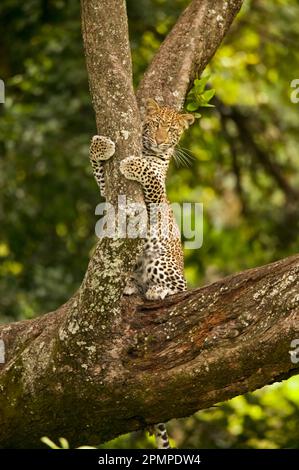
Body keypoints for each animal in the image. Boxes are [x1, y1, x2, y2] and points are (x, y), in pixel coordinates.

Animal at [88, 98, 197, 448]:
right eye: (156, 125)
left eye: (172, 130)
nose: (162, 142)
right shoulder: (109, 191)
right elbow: (98, 171)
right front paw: (100, 145)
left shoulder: (156, 194)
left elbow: (150, 175)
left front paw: (134, 164)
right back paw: (129, 287)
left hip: (160, 260)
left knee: (177, 288)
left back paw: (157, 290)